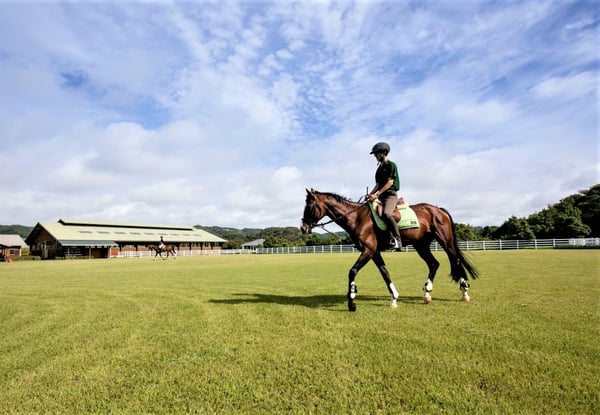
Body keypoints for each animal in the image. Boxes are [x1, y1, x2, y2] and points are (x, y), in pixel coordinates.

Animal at [300, 189, 478, 312]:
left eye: (309, 206)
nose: (303, 228)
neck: (357, 218)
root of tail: (438, 209)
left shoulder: (368, 250)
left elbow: (352, 272)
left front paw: (352, 300)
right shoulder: (374, 252)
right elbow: (385, 273)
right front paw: (394, 298)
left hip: (445, 242)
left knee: (456, 259)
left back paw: (464, 292)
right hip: (421, 245)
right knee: (434, 264)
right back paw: (427, 293)